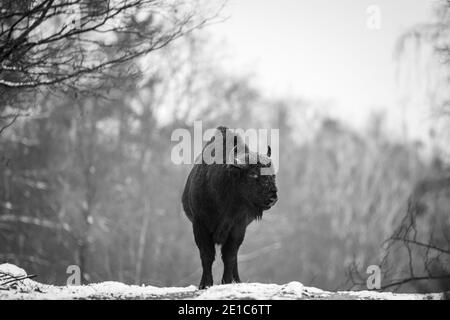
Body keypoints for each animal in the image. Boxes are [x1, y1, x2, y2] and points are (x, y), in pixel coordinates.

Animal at [182, 126, 278, 288]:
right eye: (253, 174)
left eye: (273, 175)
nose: (273, 197)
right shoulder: (200, 225)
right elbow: (207, 255)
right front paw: (205, 284)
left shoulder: (237, 227)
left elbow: (229, 256)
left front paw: (226, 281)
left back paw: (236, 280)